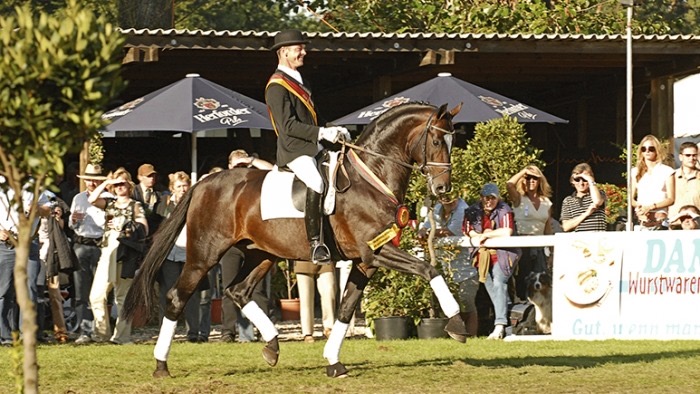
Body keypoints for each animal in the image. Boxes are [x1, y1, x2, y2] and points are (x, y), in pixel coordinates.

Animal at [123, 101, 468, 378]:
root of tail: (204, 182)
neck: (372, 177)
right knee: (177, 298)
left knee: (238, 291)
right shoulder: (377, 251)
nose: (442, 189)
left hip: (262, 254)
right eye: (436, 140)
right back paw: (161, 365)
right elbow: (429, 269)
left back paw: (272, 345)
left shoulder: (366, 261)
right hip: (203, 256)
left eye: (453, 140)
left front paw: (333, 362)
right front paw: (457, 325)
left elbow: (345, 309)